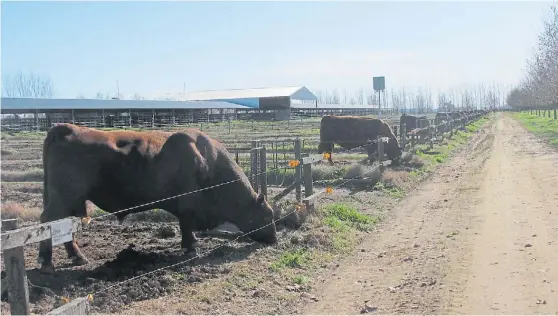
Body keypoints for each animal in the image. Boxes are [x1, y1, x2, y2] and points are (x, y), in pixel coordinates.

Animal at [37, 124, 278, 274]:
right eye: (268, 216)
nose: (275, 240)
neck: (208, 162)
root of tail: (65, 128)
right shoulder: (188, 204)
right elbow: (186, 226)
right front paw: (191, 247)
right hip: (63, 199)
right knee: (48, 223)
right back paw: (47, 263)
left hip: (72, 201)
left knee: (64, 227)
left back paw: (77, 256)